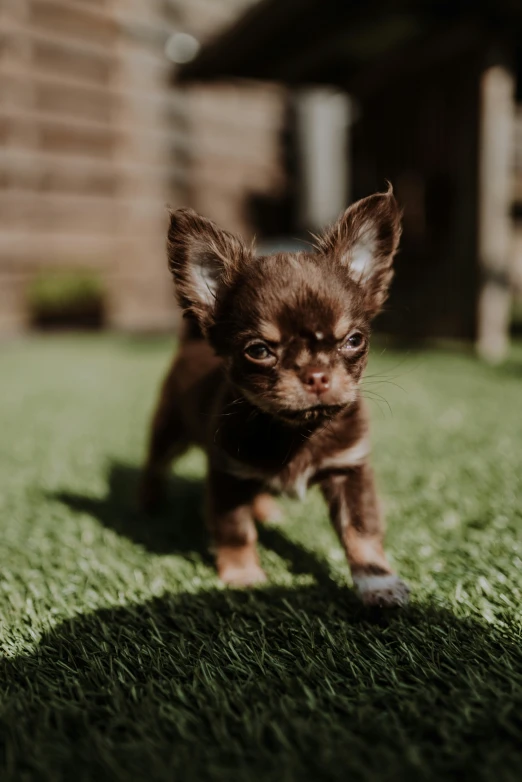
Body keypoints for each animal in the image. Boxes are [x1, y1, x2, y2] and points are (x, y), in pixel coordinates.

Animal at [140, 187, 408, 608]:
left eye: (354, 341)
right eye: (259, 351)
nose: (317, 375)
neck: (294, 432)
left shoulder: (349, 470)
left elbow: (362, 530)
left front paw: (377, 582)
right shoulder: (227, 475)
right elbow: (235, 529)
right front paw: (243, 574)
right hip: (170, 429)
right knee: (155, 463)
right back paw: (147, 503)